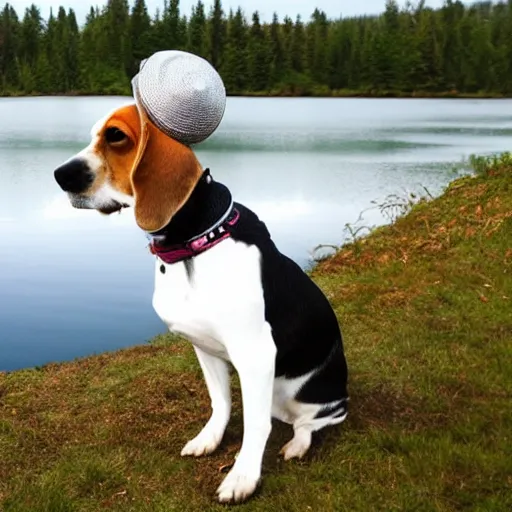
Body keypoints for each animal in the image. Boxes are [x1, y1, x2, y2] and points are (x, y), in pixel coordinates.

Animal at [53, 104, 348, 504]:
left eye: (116, 136)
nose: (59, 175)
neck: (194, 243)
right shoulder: (204, 347)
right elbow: (220, 402)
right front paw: (210, 439)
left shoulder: (255, 354)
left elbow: (255, 425)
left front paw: (242, 477)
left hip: (320, 396)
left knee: (310, 423)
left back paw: (297, 445)